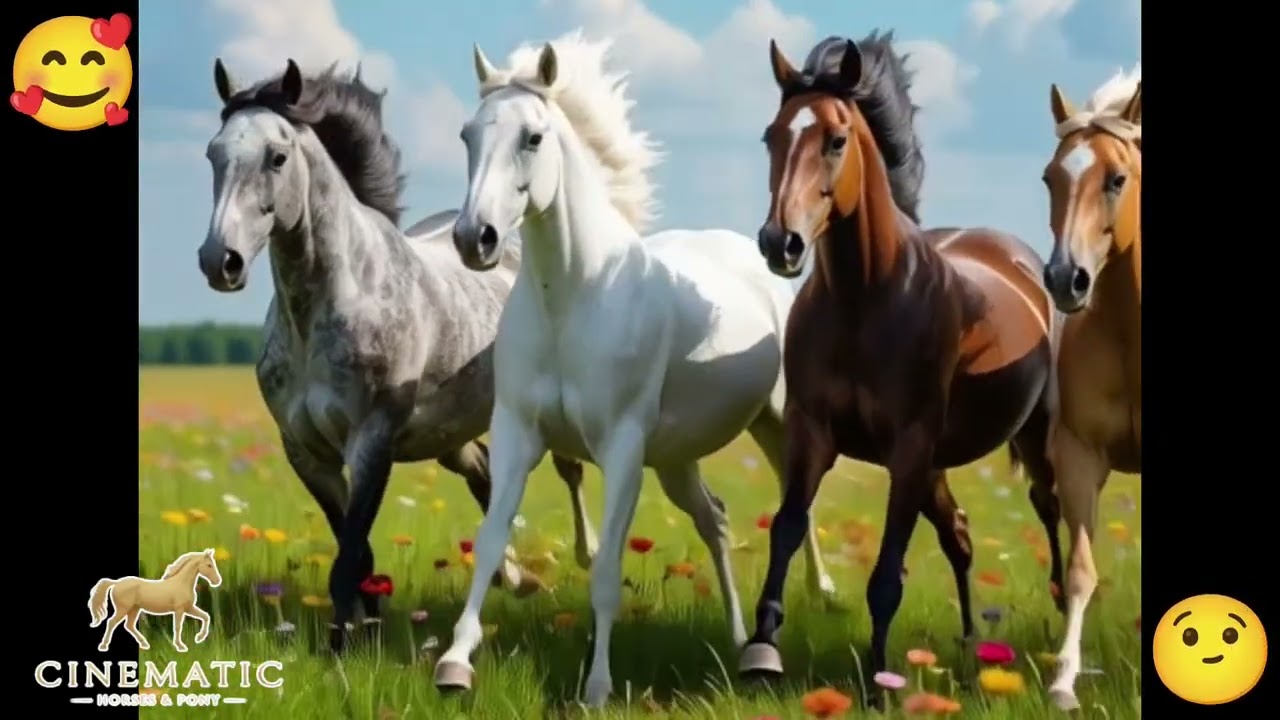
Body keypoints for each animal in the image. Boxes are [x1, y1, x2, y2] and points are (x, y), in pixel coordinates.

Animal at [88, 549, 223, 652]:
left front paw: (199, 638)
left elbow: (205, 616)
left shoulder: (188, 608)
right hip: (123, 609)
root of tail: (116, 583)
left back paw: (144, 644)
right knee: (111, 622)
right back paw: (104, 646)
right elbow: (178, 626)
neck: (181, 583)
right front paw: (180, 646)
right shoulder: (179, 609)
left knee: (129, 625)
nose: (217, 581)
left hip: (134, 609)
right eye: (209, 565)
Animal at [197, 59, 600, 654]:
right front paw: (365, 627)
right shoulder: (306, 453)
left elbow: (348, 556)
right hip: (449, 433)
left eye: (277, 156)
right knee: (484, 475)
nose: (219, 261)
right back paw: (513, 577)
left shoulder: (372, 442)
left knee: (565, 471)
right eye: (214, 153)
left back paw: (579, 557)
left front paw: (341, 649)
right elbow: (355, 550)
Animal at [433, 31, 835, 707]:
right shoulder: (518, 433)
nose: (474, 239)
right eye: (466, 134)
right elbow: (489, 542)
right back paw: (736, 641)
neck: (575, 299)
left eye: (532, 137)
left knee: (794, 509)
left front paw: (597, 688)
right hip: (676, 460)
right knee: (715, 520)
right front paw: (455, 663)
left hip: (779, 425)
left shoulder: (620, 450)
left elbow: (605, 571)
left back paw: (809, 603)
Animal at [737, 37, 1062, 687]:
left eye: (836, 139)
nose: (780, 243)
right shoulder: (813, 432)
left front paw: (878, 679)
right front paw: (763, 650)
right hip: (935, 466)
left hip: (1029, 437)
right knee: (959, 535)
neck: (867, 299)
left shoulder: (909, 448)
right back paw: (970, 644)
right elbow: (787, 527)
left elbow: (888, 572)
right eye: (772, 135)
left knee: (1051, 512)